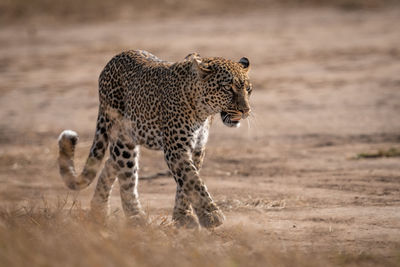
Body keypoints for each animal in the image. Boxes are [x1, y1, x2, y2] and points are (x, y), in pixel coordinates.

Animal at [57, 49, 252, 228]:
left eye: (248, 89)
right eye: (228, 88)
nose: (246, 110)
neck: (202, 111)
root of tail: (112, 61)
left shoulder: (197, 148)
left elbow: (186, 183)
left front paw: (183, 216)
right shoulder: (176, 149)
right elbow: (193, 181)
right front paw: (211, 215)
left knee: (110, 163)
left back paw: (98, 210)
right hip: (123, 139)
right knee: (126, 177)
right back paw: (135, 216)